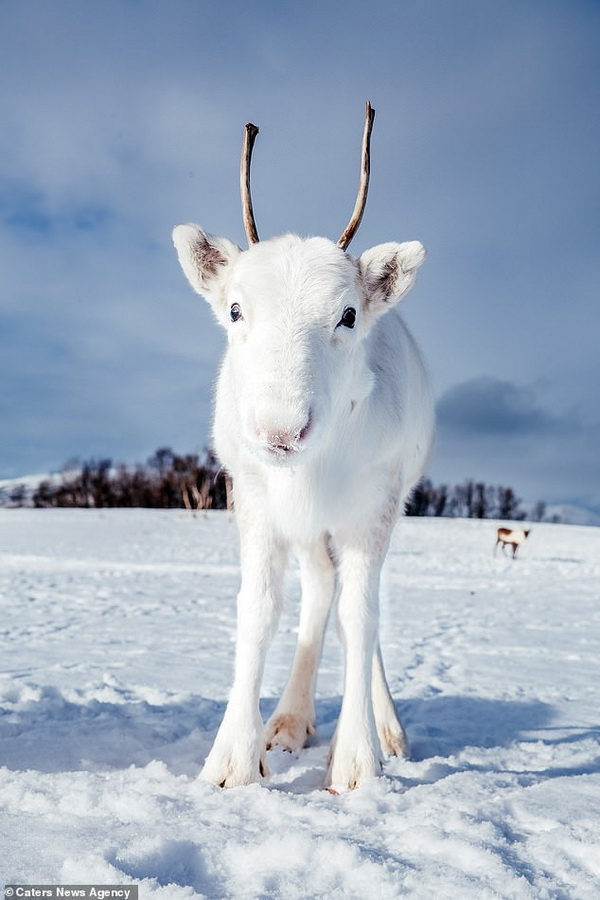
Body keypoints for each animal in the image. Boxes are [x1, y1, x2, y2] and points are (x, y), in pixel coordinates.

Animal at [172, 102, 435, 792]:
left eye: (348, 314)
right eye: (235, 310)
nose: (280, 431)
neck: (310, 472)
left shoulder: (374, 503)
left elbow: (361, 617)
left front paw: (358, 762)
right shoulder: (253, 498)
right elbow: (260, 610)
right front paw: (232, 763)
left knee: (355, 609)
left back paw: (383, 729)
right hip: (311, 532)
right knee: (320, 591)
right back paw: (289, 721)